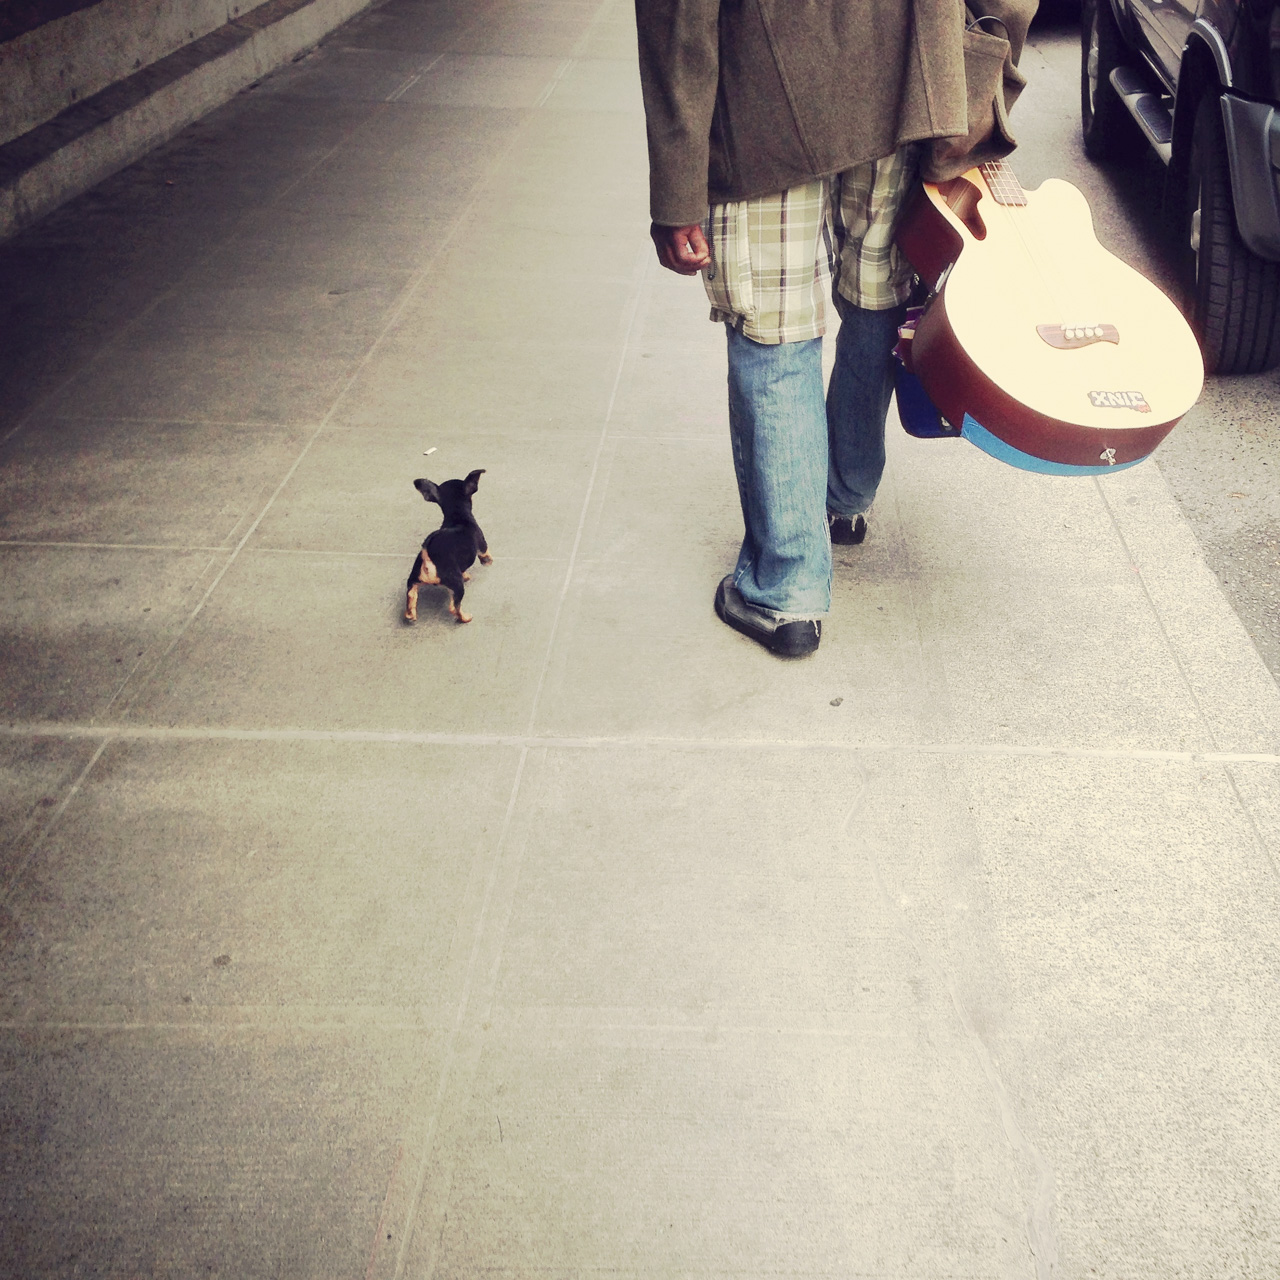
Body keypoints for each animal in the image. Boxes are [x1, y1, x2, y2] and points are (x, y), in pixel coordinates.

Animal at [405, 469, 491, 624]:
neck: (457, 516)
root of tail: (428, 558)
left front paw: (466, 575)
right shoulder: (482, 545)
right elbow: (486, 555)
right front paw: (489, 562)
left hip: (413, 579)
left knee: (411, 595)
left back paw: (411, 614)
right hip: (456, 585)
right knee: (454, 607)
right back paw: (465, 618)